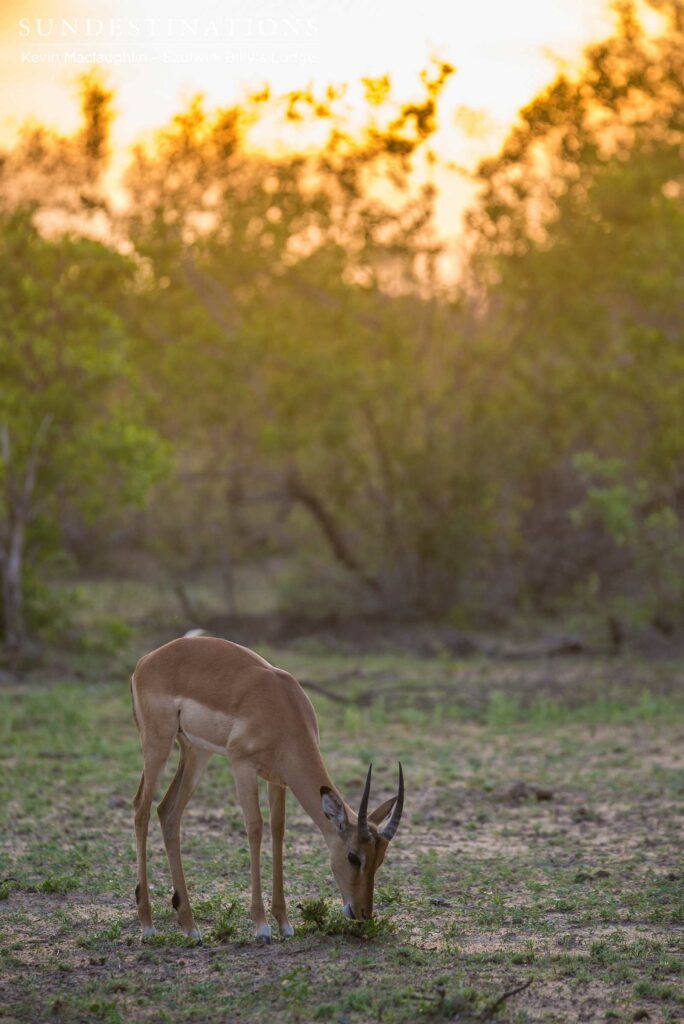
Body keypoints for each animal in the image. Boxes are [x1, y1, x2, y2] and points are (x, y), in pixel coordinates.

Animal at [131, 635, 404, 942]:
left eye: (380, 859)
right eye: (353, 857)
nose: (362, 913)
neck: (281, 708)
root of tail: (146, 660)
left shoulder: (278, 779)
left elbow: (278, 830)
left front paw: (284, 923)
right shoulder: (242, 766)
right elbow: (255, 828)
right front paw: (261, 926)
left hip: (196, 752)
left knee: (168, 812)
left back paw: (190, 927)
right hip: (158, 744)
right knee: (141, 809)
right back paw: (148, 926)